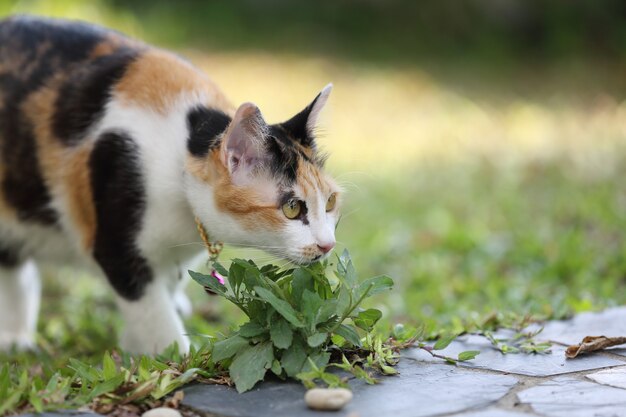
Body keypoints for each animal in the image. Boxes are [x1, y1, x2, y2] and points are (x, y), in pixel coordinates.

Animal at [0, 17, 338, 354]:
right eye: (292, 207)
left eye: (330, 202)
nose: (328, 245)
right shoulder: (118, 247)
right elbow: (155, 316)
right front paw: (176, 357)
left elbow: (168, 286)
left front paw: (135, 343)